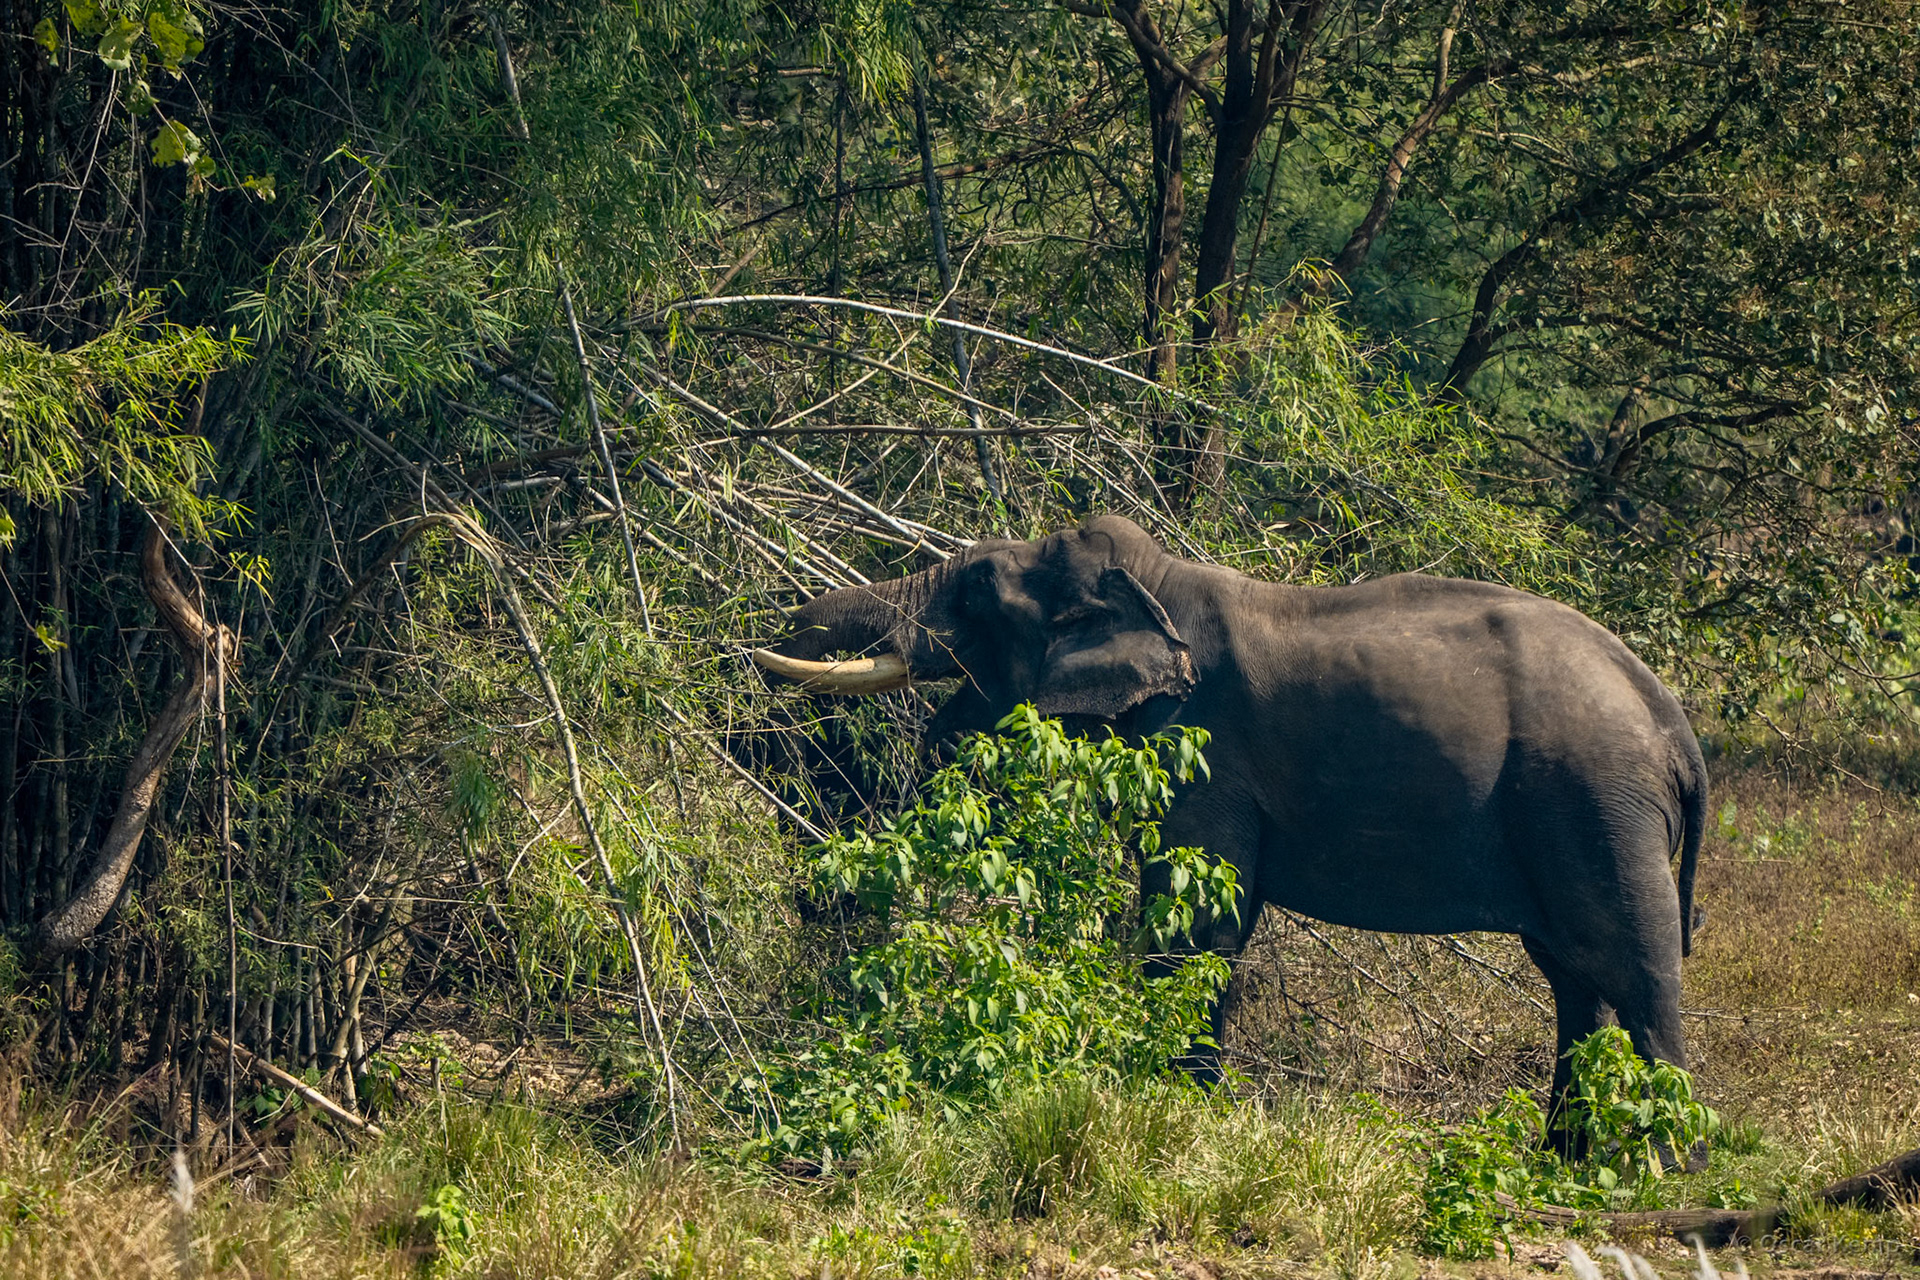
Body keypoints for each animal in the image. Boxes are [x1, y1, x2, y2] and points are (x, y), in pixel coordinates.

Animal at [750, 514, 1708, 1114]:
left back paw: (1666, 1173)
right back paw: (1566, 1166)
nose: (752, 640)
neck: (1157, 582)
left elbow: (1196, 918)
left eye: (978, 596)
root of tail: (1677, 728)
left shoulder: (1203, 745)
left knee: (1637, 972)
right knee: (1575, 983)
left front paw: (1178, 1108)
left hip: (1596, 805)